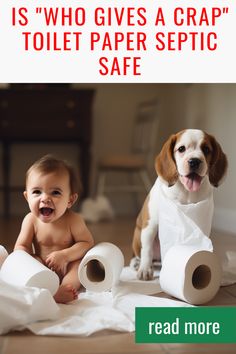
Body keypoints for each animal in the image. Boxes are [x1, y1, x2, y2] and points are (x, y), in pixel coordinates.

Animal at [132, 129, 228, 280]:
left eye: (206, 149)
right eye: (181, 149)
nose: (194, 161)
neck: (187, 193)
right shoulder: (150, 225)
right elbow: (146, 250)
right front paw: (145, 269)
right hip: (137, 236)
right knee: (141, 254)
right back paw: (137, 263)